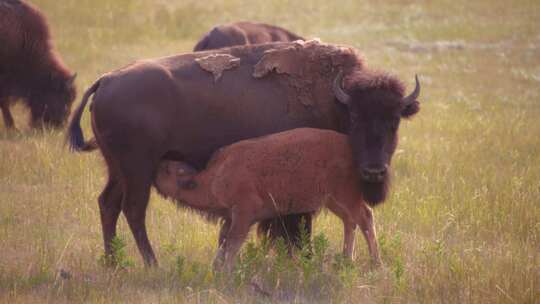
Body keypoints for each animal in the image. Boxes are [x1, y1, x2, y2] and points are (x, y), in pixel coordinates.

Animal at [155, 128, 384, 270]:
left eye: (167, 170)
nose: (157, 165)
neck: (215, 176)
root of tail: (351, 147)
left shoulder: (243, 213)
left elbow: (232, 243)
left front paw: (227, 271)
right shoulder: (231, 217)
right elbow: (223, 242)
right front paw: (216, 268)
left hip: (345, 196)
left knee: (365, 218)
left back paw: (376, 264)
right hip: (333, 200)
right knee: (350, 221)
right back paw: (347, 259)